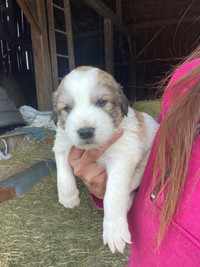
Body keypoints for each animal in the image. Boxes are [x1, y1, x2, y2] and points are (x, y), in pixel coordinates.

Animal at [53, 66, 159, 253]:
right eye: (67, 108)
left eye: (102, 102)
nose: (85, 132)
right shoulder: (62, 143)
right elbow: (63, 172)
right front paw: (68, 198)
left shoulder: (121, 157)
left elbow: (113, 194)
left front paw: (114, 230)